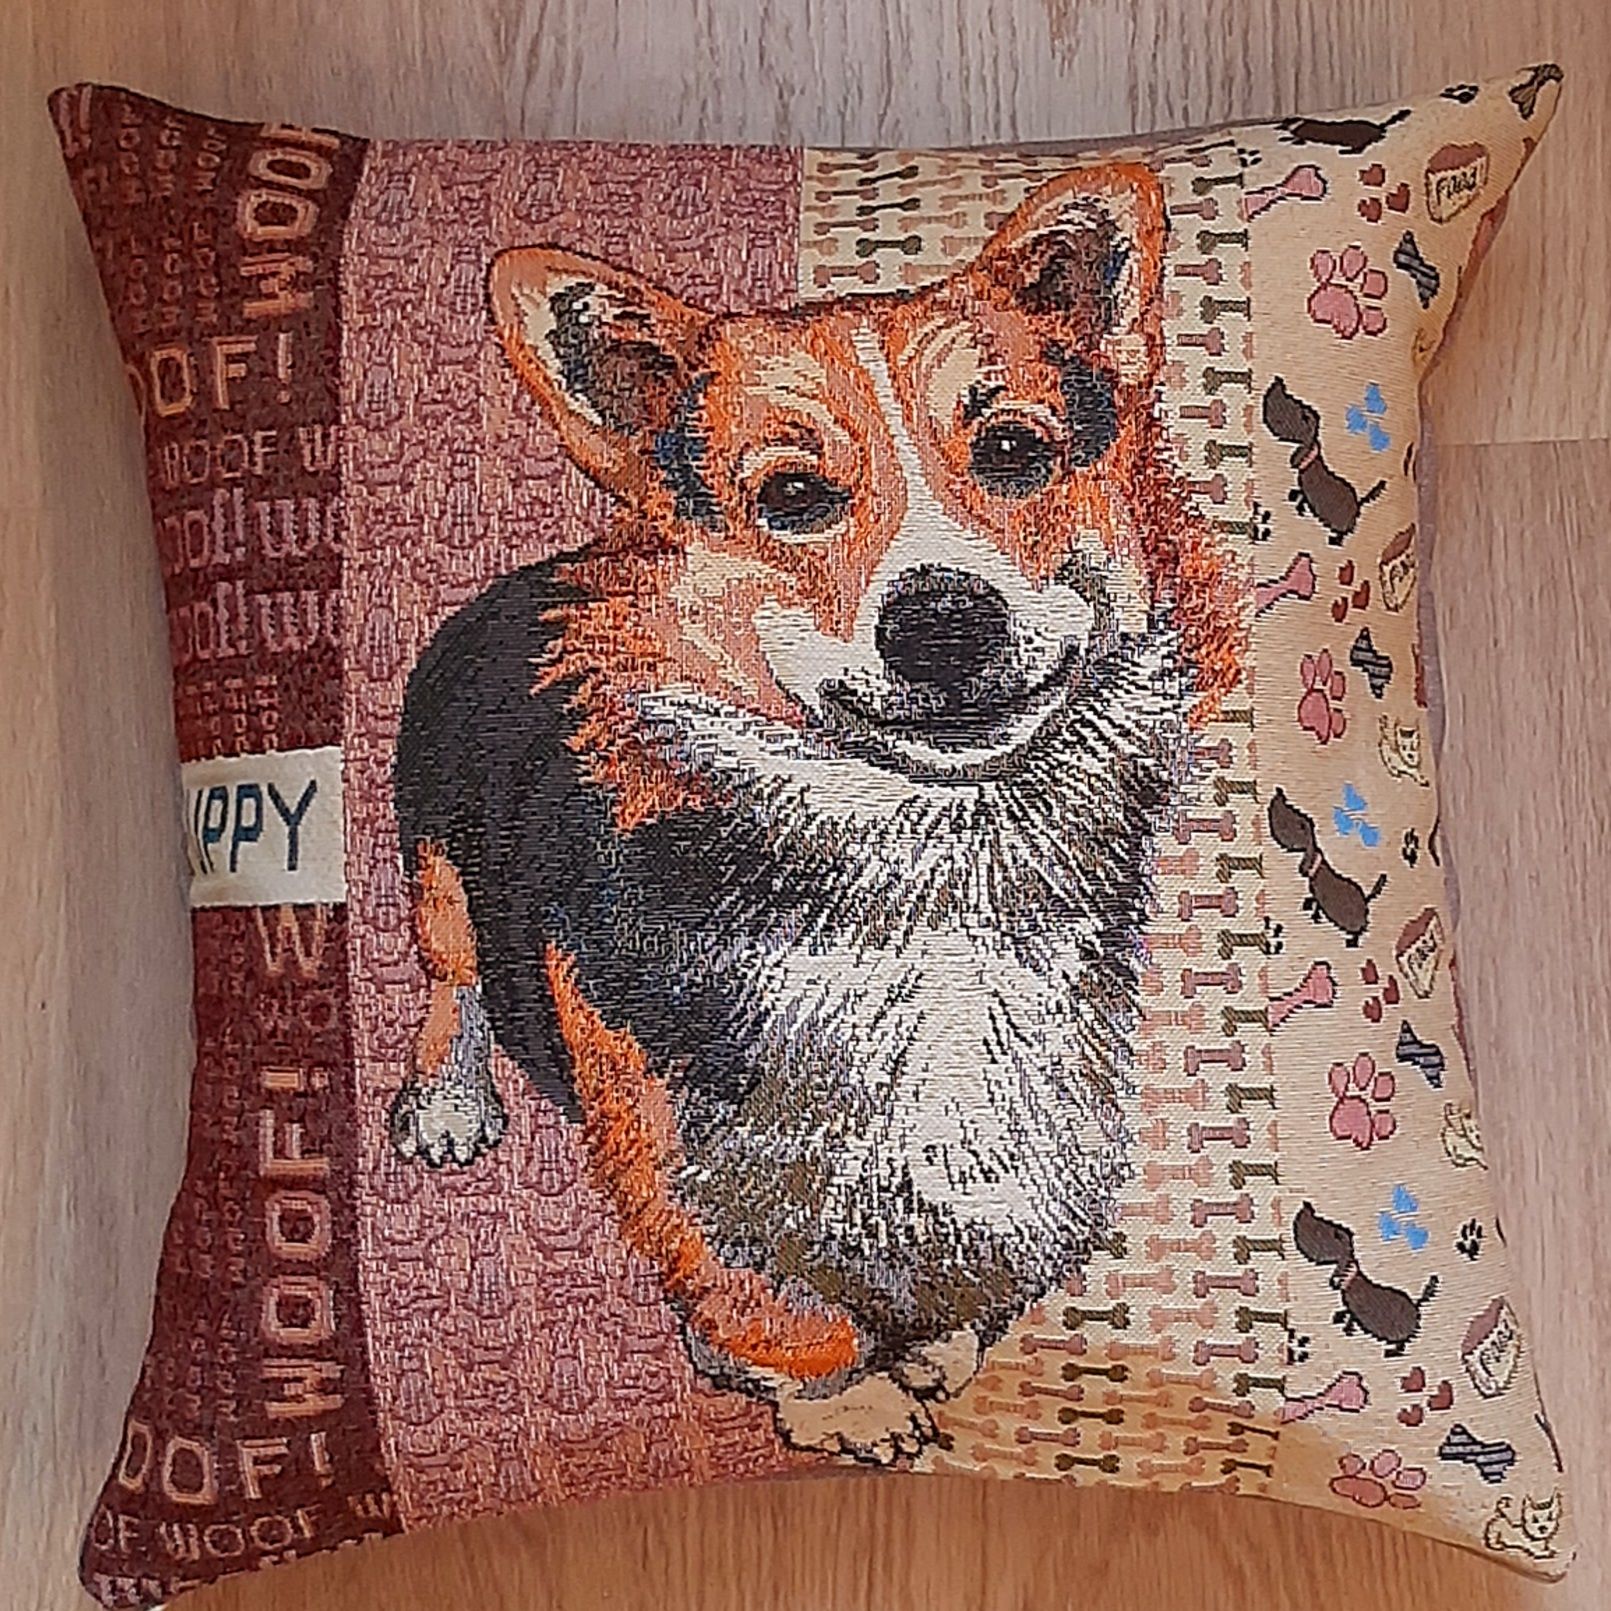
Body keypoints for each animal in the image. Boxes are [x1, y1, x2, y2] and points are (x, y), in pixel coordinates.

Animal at [387, 163, 1244, 1463]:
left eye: (1012, 450)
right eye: (793, 496)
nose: (944, 624)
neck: (931, 860)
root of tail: (523, 577)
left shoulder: (1023, 1124)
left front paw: (936, 1348)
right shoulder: (679, 1159)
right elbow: (778, 1307)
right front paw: (850, 1403)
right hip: (437, 867)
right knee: (454, 982)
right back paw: (446, 1101)